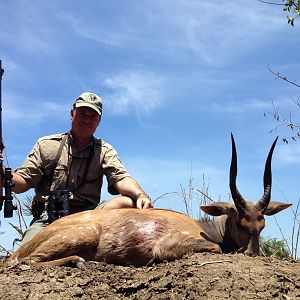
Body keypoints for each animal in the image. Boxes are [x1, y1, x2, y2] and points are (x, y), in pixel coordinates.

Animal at [8, 134, 290, 268]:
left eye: (261, 224)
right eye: (239, 220)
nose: (254, 253)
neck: (207, 228)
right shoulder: (171, 246)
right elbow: (216, 249)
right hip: (82, 235)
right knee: (24, 262)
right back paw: (78, 261)